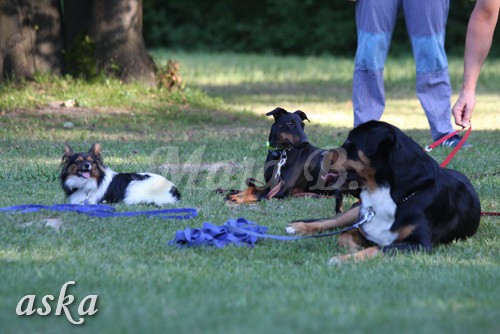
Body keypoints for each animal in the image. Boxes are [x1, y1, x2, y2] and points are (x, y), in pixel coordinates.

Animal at [288, 120, 482, 264]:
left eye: (349, 144)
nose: (321, 155)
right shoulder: (363, 227)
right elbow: (343, 235)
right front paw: (353, 250)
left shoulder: (418, 243)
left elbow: (377, 248)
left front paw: (345, 258)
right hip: (357, 212)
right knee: (332, 221)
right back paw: (298, 227)